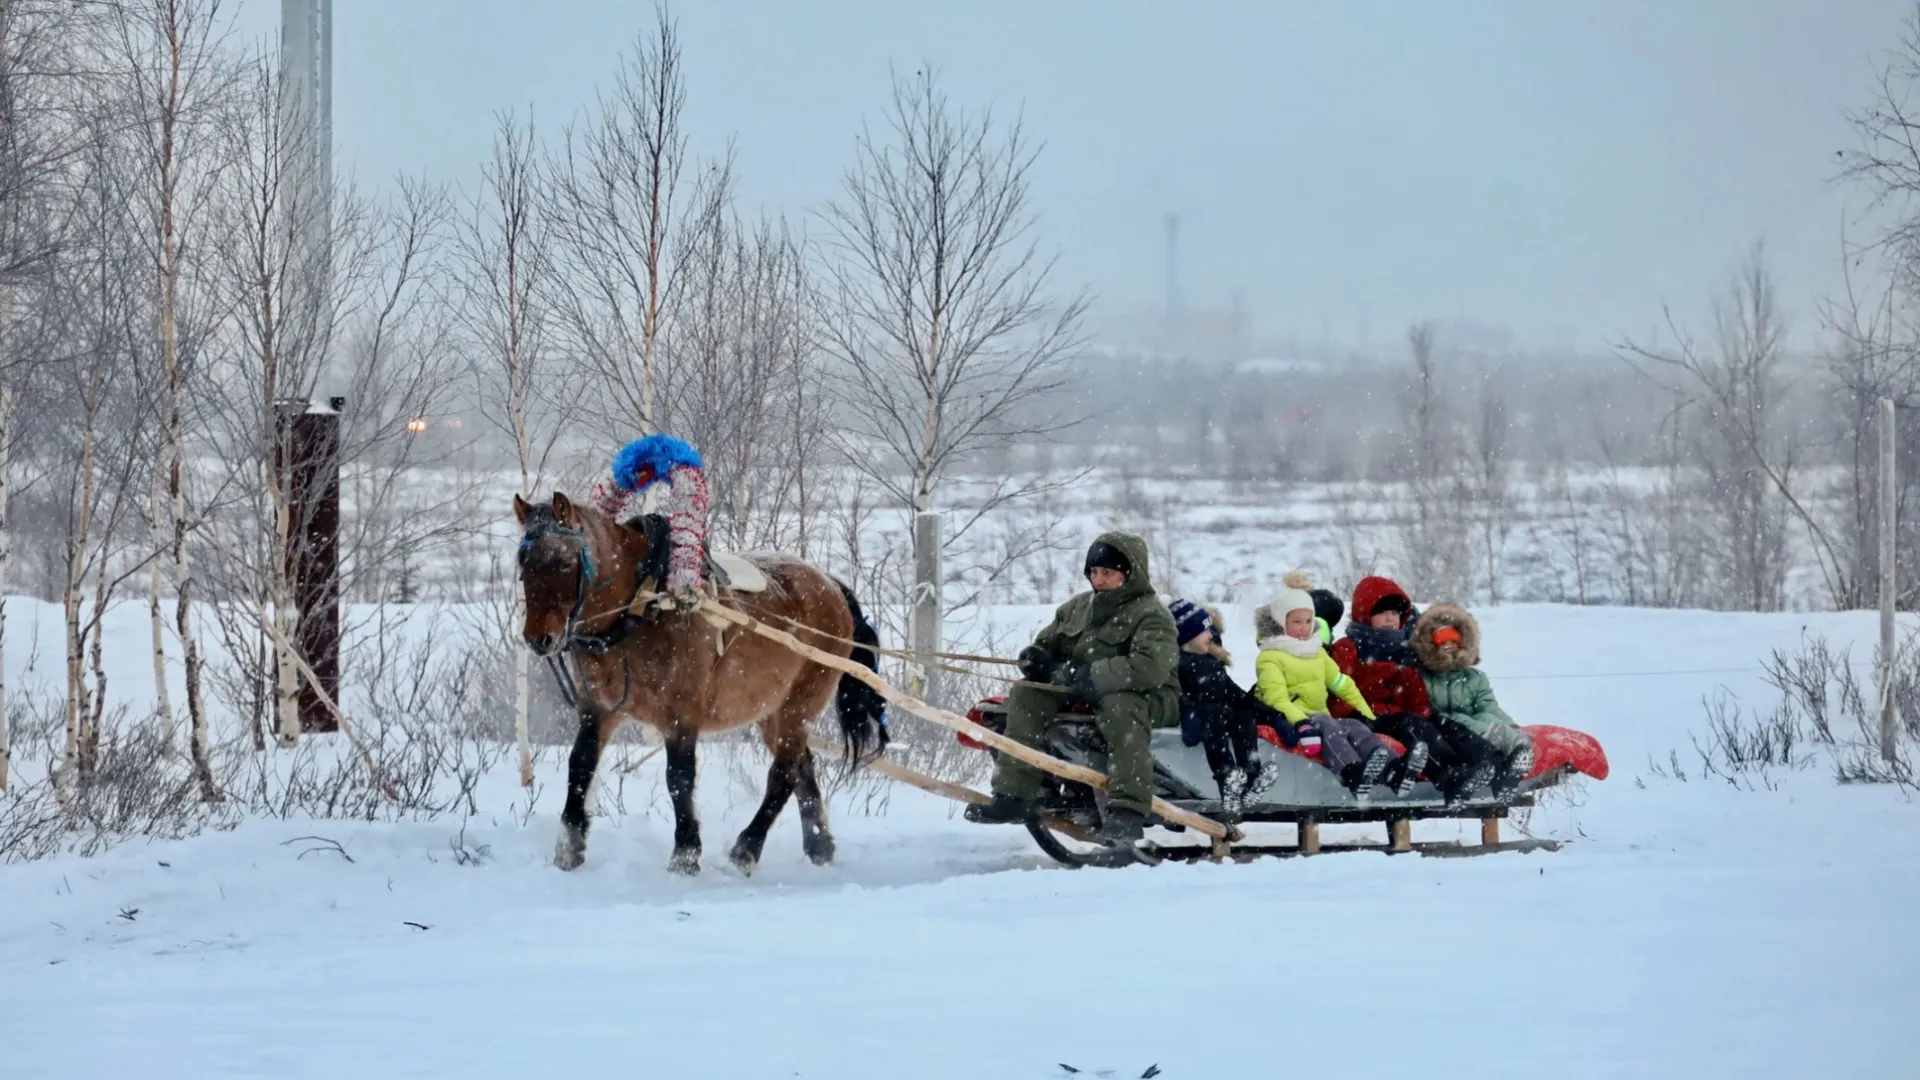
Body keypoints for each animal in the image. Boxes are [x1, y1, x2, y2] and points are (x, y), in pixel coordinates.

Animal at [518, 491, 890, 868]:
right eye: (523, 561)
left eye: (564, 562)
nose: (538, 638)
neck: (641, 606)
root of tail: (832, 585)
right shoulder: (600, 708)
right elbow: (580, 765)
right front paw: (569, 847)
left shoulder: (681, 712)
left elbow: (679, 778)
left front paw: (685, 853)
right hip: (771, 711)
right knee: (803, 765)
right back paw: (819, 846)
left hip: (800, 703)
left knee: (784, 773)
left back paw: (747, 849)